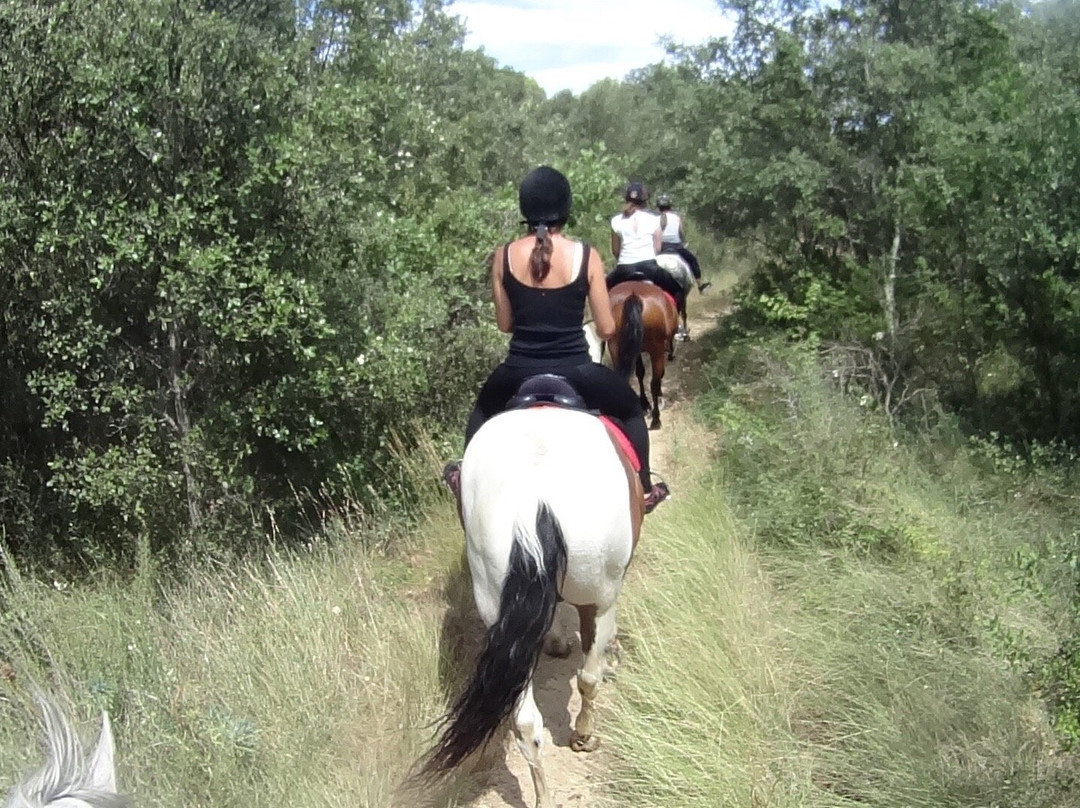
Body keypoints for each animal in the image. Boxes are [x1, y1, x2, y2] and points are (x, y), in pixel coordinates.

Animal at [419, 406, 639, 803]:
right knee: (588, 677)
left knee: (524, 723)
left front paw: (555, 641)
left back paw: (543, 796)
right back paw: (583, 734)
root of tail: (528, 505)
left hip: (495, 605)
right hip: (599, 596)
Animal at [609, 278, 673, 429]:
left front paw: (644, 404)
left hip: (615, 347)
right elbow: (656, 377)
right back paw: (656, 419)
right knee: (654, 383)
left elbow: (639, 373)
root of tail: (633, 296)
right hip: (656, 350)